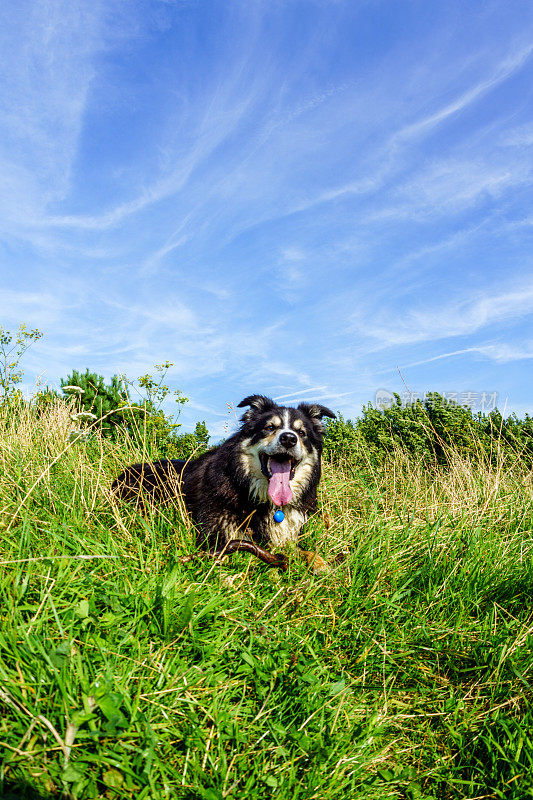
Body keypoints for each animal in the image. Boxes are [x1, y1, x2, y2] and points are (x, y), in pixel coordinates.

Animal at [113, 396, 332, 564]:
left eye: (302, 433)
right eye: (270, 427)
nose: (288, 438)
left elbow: (306, 551)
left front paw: (321, 565)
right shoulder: (217, 534)